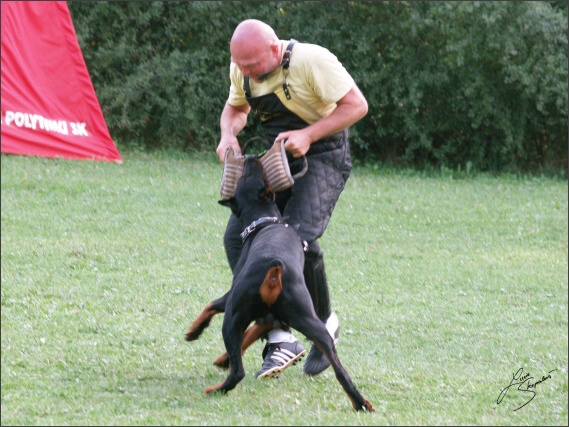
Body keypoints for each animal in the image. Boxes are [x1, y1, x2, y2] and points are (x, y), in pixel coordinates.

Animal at [184, 156, 374, 412]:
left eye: (246, 174)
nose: (250, 157)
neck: (265, 221)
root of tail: (275, 267)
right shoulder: (273, 316)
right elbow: (254, 331)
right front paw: (223, 357)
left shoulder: (233, 295)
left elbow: (211, 305)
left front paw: (194, 332)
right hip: (310, 321)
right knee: (340, 371)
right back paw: (361, 403)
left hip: (233, 314)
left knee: (238, 372)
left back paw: (215, 390)